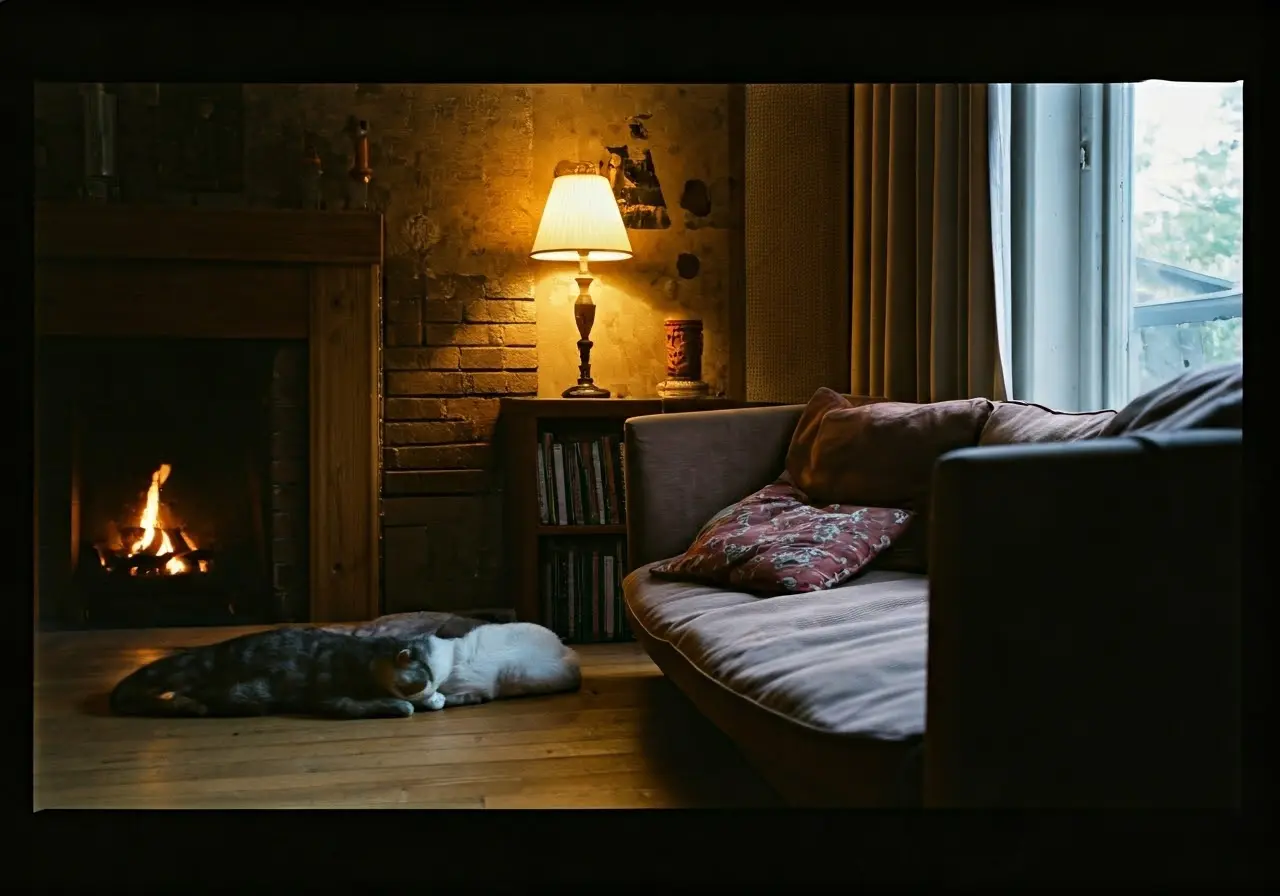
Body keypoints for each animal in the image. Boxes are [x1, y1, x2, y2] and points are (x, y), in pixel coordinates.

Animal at [106, 629, 435, 721]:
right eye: (424, 679)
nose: (431, 691)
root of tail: (211, 651)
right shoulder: (332, 696)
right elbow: (363, 705)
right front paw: (401, 705)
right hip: (251, 691)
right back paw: (192, 706)